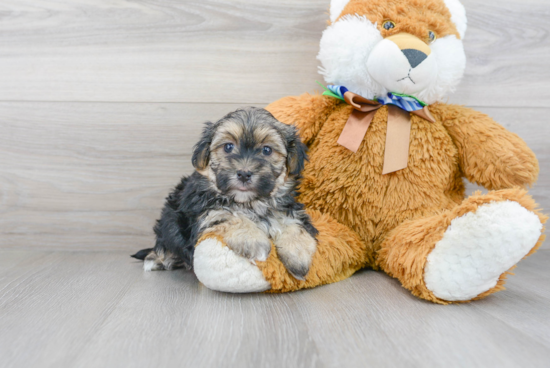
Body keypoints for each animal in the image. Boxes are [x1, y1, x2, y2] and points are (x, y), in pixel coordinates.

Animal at [133, 108, 320, 280]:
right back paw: (158, 259)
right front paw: (253, 241)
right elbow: (229, 215)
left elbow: (294, 225)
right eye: (228, 147)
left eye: (267, 150)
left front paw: (299, 256)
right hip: (170, 220)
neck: (250, 203)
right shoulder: (205, 210)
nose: (244, 173)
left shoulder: (287, 209)